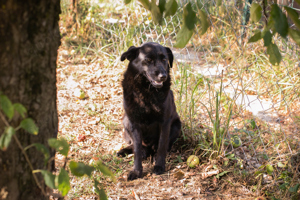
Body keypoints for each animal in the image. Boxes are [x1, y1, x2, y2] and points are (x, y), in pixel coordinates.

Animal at [117, 41, 180, 180]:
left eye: (164, 59)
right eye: (148, 60)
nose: (163, 76)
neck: (147, 91)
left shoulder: (165, 122)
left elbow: (162, 145)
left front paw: (159, 166)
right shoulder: (134, 122)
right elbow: (136, 149)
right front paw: (137, 171)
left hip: (177, 126)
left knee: (161, 146)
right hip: (126, 121)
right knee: (136, 146)